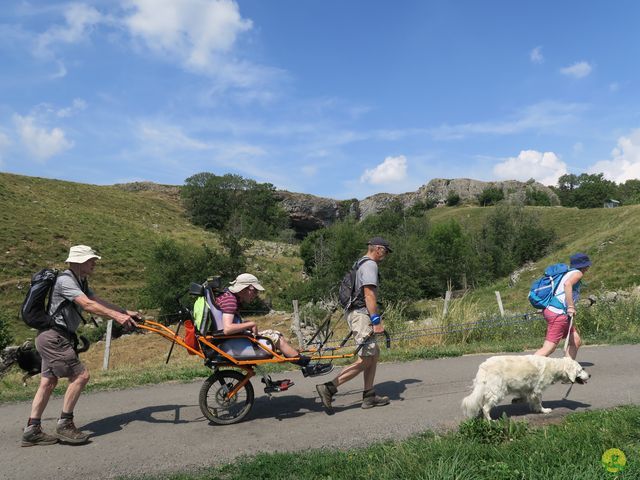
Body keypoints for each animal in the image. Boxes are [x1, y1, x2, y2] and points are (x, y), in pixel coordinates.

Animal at [460, 352, 592, 420]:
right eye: (581, 369)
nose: (590, 375)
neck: (554, 366)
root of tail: (483, 366)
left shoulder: (528, 388)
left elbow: (526, 397)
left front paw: (518, 400)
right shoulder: (538, 390)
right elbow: (538, 402)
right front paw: (543, 410)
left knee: (481, 404)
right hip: (497, 391)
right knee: (486, 407)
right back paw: (490, 421)